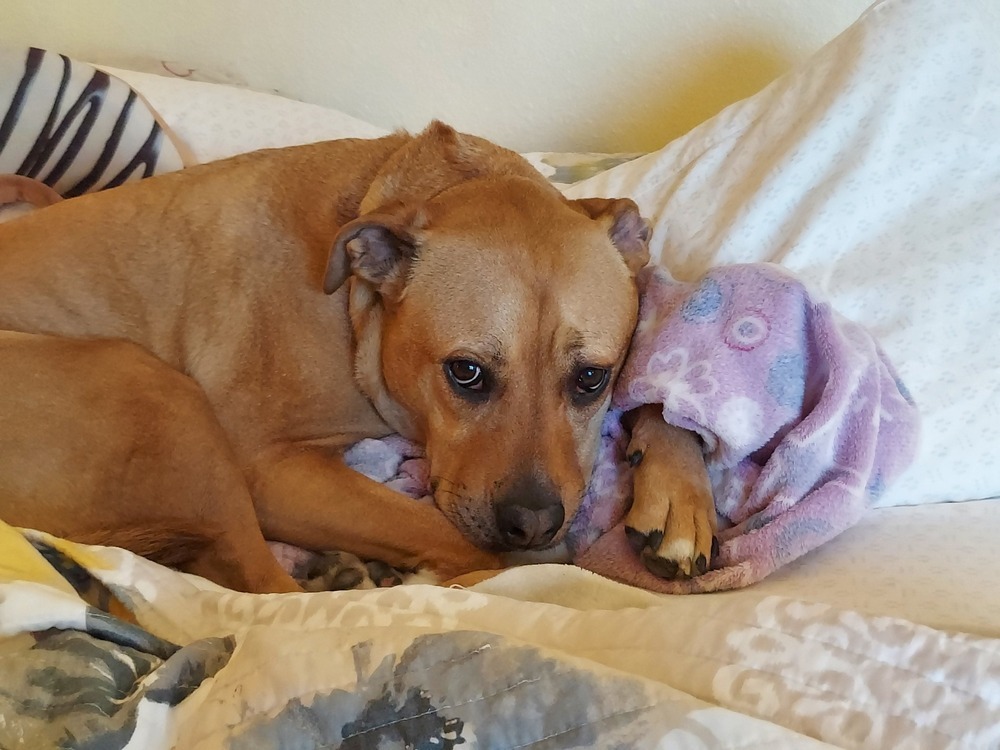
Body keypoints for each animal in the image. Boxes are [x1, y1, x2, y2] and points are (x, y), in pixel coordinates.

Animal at [0, 123, 720, 592]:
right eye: (465, 372)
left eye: (592, 378)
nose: (533, 523)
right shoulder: (272, 467)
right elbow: (450, 537)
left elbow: (655, 392)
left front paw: (680, 494)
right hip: (154, 391)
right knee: (263, 589)